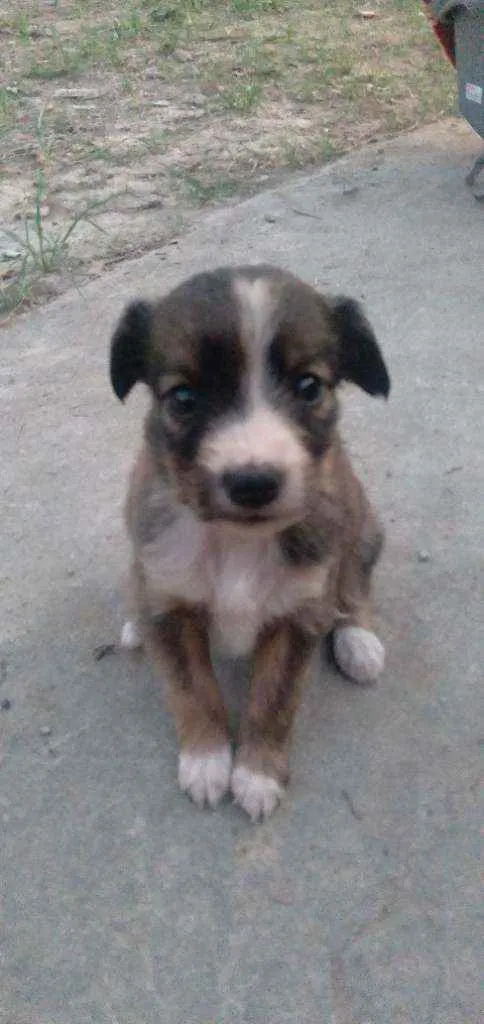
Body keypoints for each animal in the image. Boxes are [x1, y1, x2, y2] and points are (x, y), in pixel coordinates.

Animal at [109, 264, 390, 821]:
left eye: (309, 386)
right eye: (183, 398)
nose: (253, 483)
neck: (236, 541)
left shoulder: (300, 613)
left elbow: (275, 698)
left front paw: (257, 774)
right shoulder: (169, 602)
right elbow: (191, 687)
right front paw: (206, 759)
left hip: (363, 527)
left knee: (353, 585)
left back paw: (357, 639)